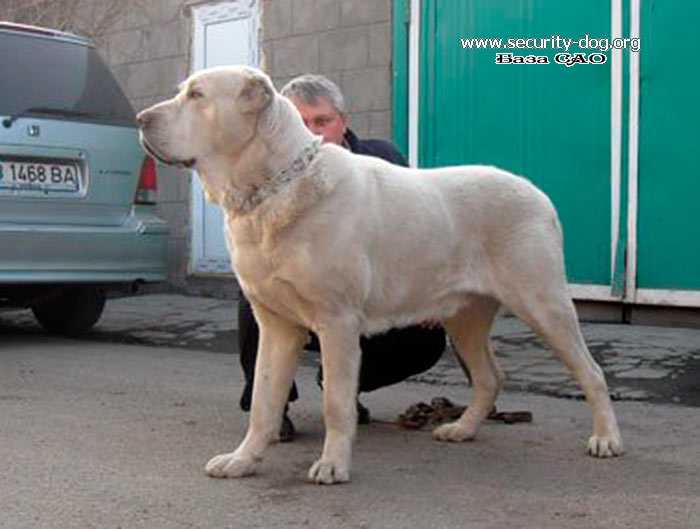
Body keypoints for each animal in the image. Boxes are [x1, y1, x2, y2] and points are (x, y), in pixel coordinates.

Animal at [138, 65, 624, 482]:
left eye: (197, 95)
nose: (141, 119)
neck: (274, 185)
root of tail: (537, 192)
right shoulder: (276, 326)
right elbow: (263, 400)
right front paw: (243, 460)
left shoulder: (337, 322)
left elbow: (335, 401)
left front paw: (333, 465)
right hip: (464, 317)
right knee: (491, 378)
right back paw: (462, 429)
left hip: (544, 304)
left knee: (592, 372)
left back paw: (606, 439)